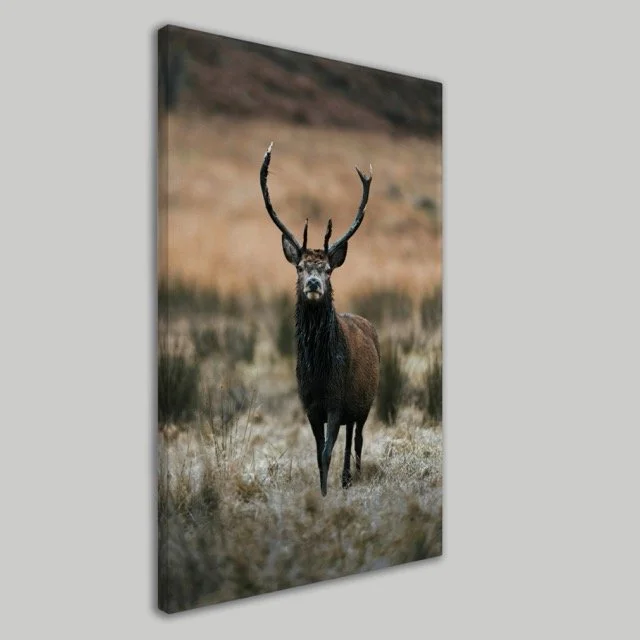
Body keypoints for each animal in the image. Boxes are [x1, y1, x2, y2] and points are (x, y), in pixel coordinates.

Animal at [260, 142, 381, 496]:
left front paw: (327, 494)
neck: (319, 369)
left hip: (364, 403)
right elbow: (317, 454)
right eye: (300, 267)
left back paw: (352, 476)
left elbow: (328, 451)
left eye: (327, 269)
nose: (314, 284)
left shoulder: (336, 400)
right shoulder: (310, 405)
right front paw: (323, 489)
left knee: (357, 439)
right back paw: (345, 478)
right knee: (350, 438)